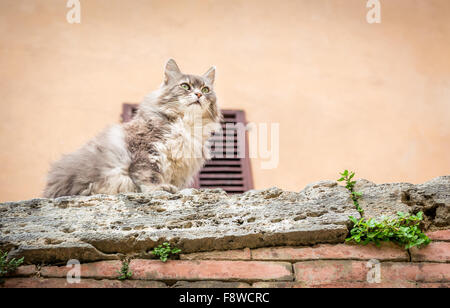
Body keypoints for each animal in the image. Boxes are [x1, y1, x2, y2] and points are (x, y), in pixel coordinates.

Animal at [44, 59, 221, 199]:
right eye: (185, 86)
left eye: (205, 89)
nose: (198, 94)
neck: (186, 124)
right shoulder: (146, 150)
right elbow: (150, 175)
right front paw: (160, 188)